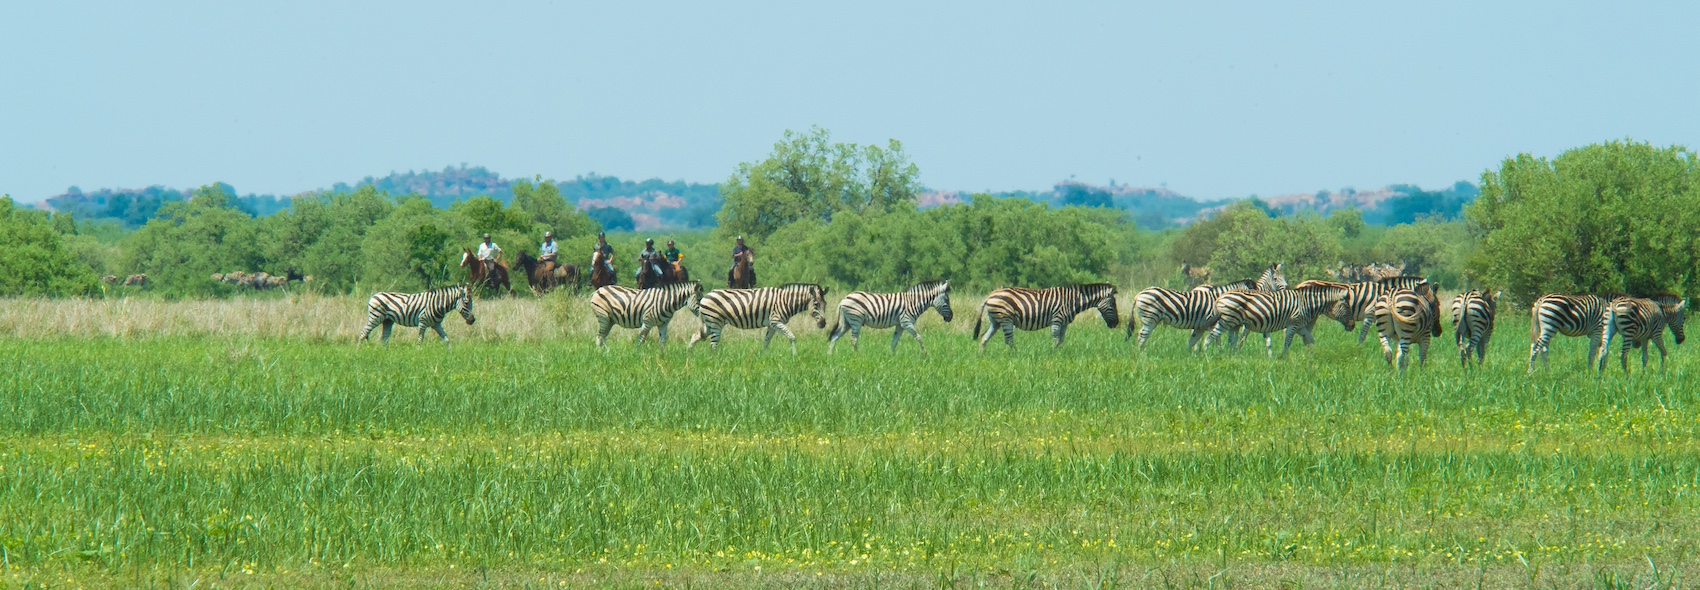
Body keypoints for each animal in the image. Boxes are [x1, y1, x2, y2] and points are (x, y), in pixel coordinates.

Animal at [683, 283, 829, 353]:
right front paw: (795, 355)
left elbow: (766, 341)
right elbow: (792, 337)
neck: (786, 301)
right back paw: (715, 361)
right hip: (715, 323)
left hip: (710, 323)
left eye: (825, 304)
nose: (823, 324)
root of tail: (705, 297)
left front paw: (763, 356)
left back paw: (689, 354)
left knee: (695, 336)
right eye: (816, 304)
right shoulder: (776, 321)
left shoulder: (772, 325)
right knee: (713, 344)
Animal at [979, 283, 1122, 351]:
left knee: (984, 337)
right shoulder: (1057, 319)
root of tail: (989, 296)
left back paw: (981, 355)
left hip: (995, 321)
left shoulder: (1064, 323)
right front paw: (1052, 353)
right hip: (1006, 319)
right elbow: (1055, 338)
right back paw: (1016, 354)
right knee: (1009, 340)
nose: (1115, 323)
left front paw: (1059, 353)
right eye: (1113, 304)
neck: (1072, 301)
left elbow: (1061, 340)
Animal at [1210, 283, 1353, 358]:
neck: (1306, 303)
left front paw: (1313, 354)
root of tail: (1220, 297)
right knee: (1213, 335)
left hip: (1233, 322)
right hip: (1229, 320)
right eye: (1346, 306)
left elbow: (1310, 340)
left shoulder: (1300, 326)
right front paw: (1282, 358)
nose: (1352, 326)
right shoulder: (1293, 324)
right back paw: (1206, 354)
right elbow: (1288, 342)